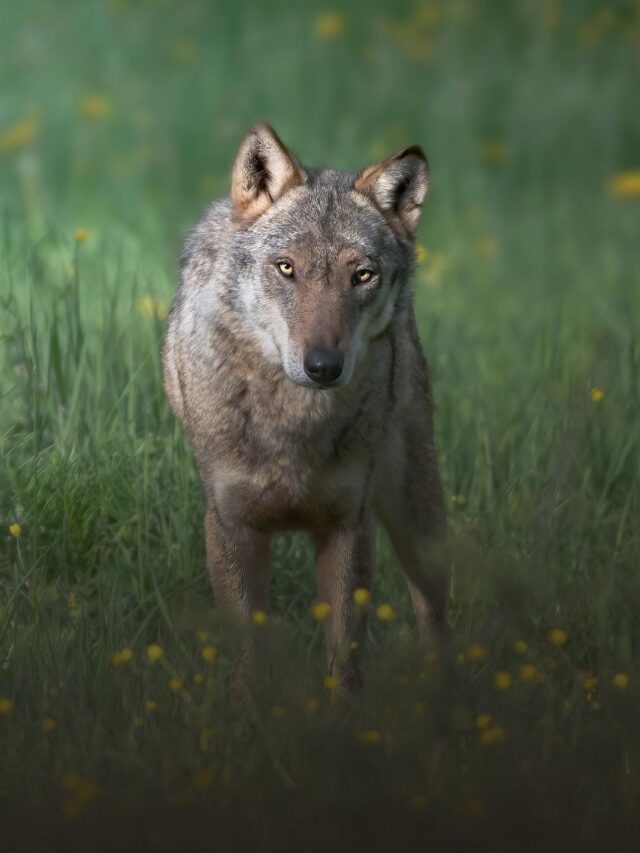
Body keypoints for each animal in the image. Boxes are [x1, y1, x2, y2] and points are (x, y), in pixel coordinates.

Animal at [162, 123, 448, 688]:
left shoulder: (348, 525)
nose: (322, 366)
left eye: (362, 276)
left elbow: (346, 663)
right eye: (286, 268)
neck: (293, 429)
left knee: (436, 617)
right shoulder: (231, 528)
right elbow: (249, 657)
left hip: (416, 514)